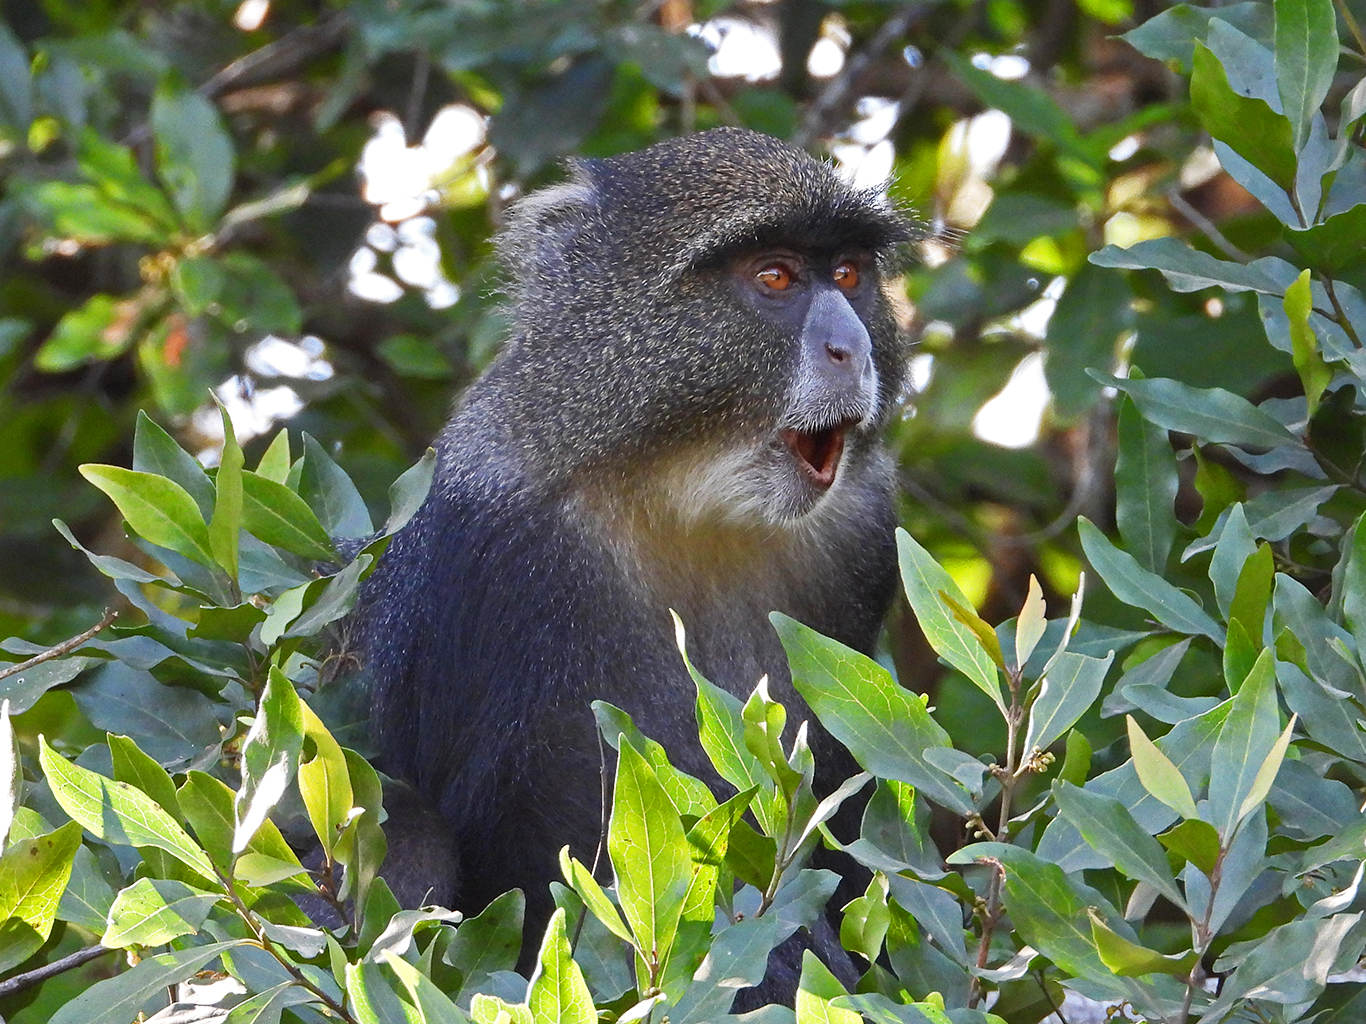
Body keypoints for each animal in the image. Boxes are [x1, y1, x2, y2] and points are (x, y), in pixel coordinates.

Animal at [352, 128, 912, 1004]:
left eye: (850, 275)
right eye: (776, 277)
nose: (849, 347)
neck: (681, 496)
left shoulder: (862, 529)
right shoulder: (497, 543)